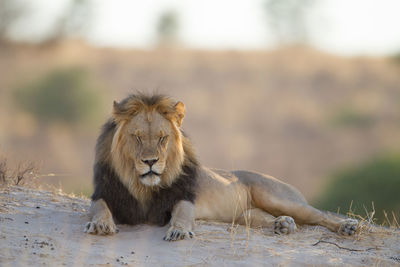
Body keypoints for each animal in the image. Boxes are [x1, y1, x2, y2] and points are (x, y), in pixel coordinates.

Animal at [83, 93, 356, 241]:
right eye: (137, 137)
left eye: (162, 138)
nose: (150, 161)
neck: (141, 185)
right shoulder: (103, 194)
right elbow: (100, 209)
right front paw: (101, 225)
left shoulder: (184, 198)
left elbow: (181, 215)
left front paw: (179, 231)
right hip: (245, 215)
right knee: (269, 218)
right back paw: (283, 225)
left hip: (277, 197)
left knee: (320, 215)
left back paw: (347, 226)